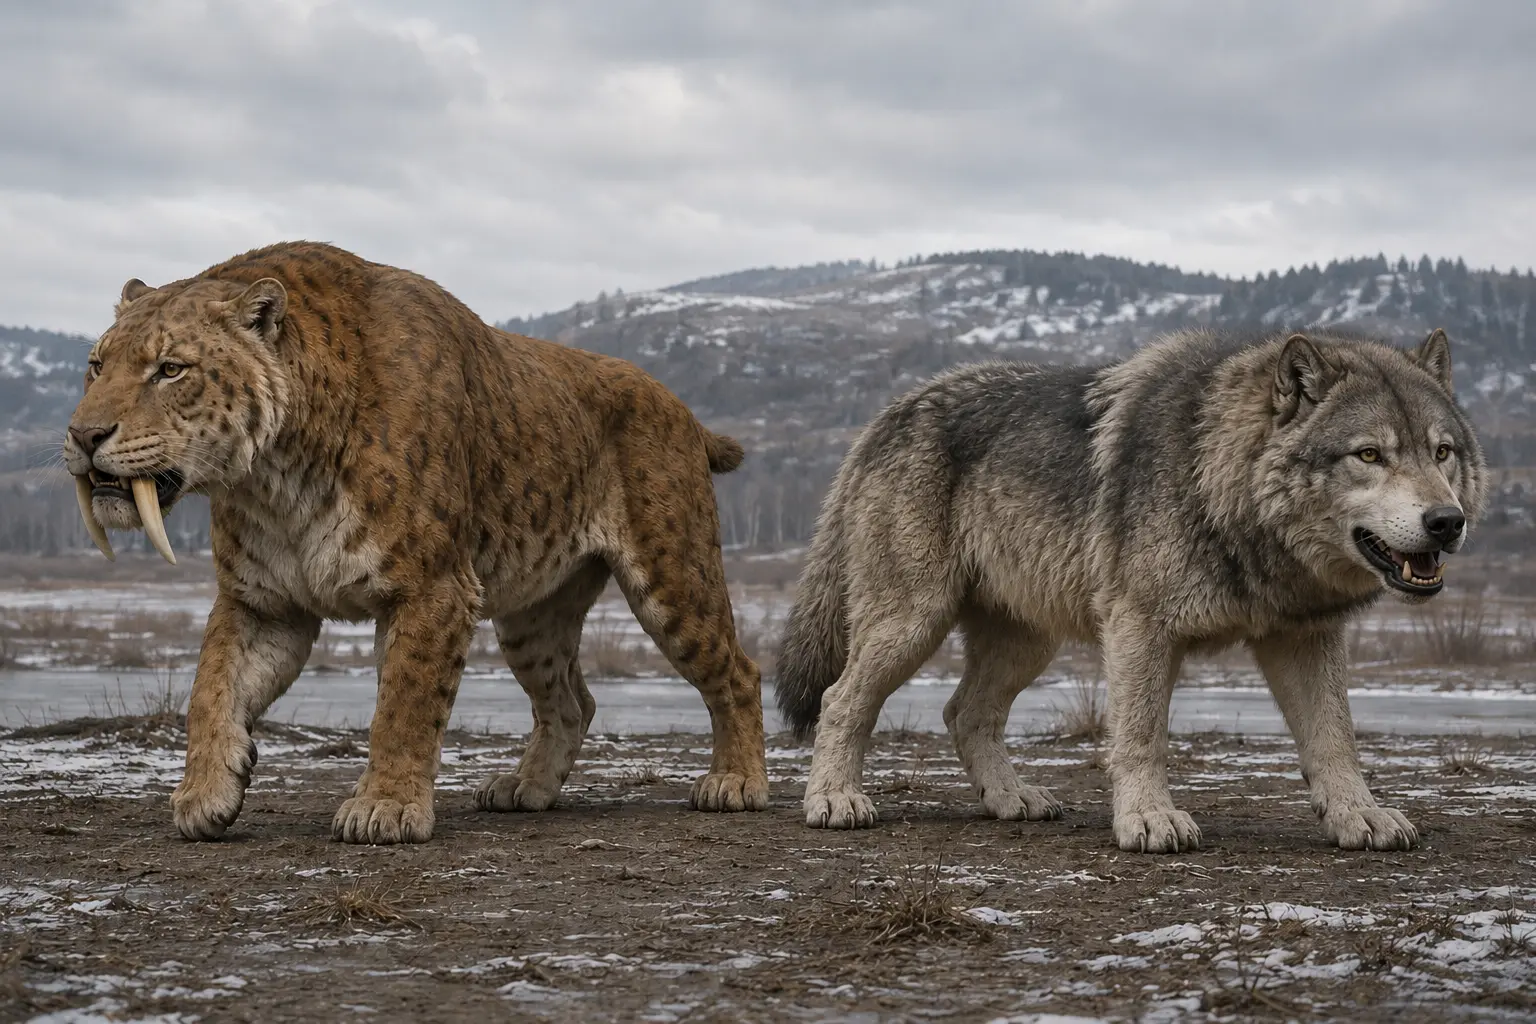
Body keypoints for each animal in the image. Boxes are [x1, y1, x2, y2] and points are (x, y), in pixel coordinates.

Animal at [776, 328, 1485, 852]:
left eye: (1441, 452)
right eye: (1369, 455)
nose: (1446, 522)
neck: (1218, 485)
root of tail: (885, 416)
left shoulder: (1305, 637)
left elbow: (1337, 738)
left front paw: (1358, 817)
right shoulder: (1140, 628)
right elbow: (1142, 735)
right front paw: (1148, 819)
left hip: (1028, 644)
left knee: (963, 712)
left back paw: (1010, 799)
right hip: (914, 623)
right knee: (841, 699)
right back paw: (835, 799)